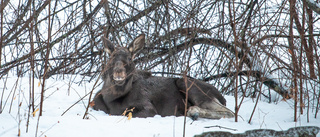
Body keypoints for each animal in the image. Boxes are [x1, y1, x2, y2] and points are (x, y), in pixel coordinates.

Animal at [91, 34, 234, 120]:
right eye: (111, 57)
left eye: (130, 59)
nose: (119, 72)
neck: (112, 98)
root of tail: (222, 97)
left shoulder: (148, 108)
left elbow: (127, 113)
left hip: (188, 85)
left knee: (229, 112)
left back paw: (193, 111)